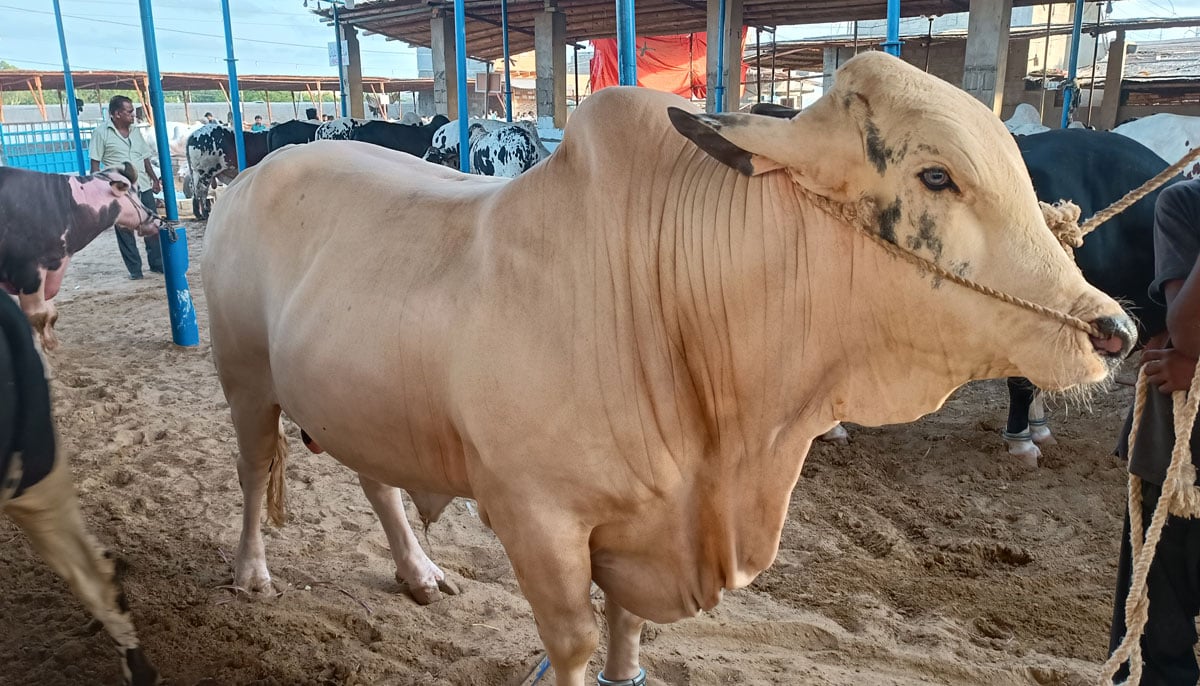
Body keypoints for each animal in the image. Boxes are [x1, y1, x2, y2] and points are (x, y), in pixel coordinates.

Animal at [0, 164, 162, 350]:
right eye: (138, 190)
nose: (156, 221)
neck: (63, 205)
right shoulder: (27, 273)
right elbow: (37, 315)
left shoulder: (51, 267)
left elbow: (51, 313)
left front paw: (53, 345)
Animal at [204, 53, 1132, 686]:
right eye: (936, 174)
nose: (1113, 329)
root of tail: (254, 171)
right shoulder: (537, 518)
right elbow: (574, 643)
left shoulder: (641, 522)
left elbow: (628, 632)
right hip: (244, 377)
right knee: (252, 472)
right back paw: (252, 575)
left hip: (360, 396)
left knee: (376, 478)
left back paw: (420, 571)